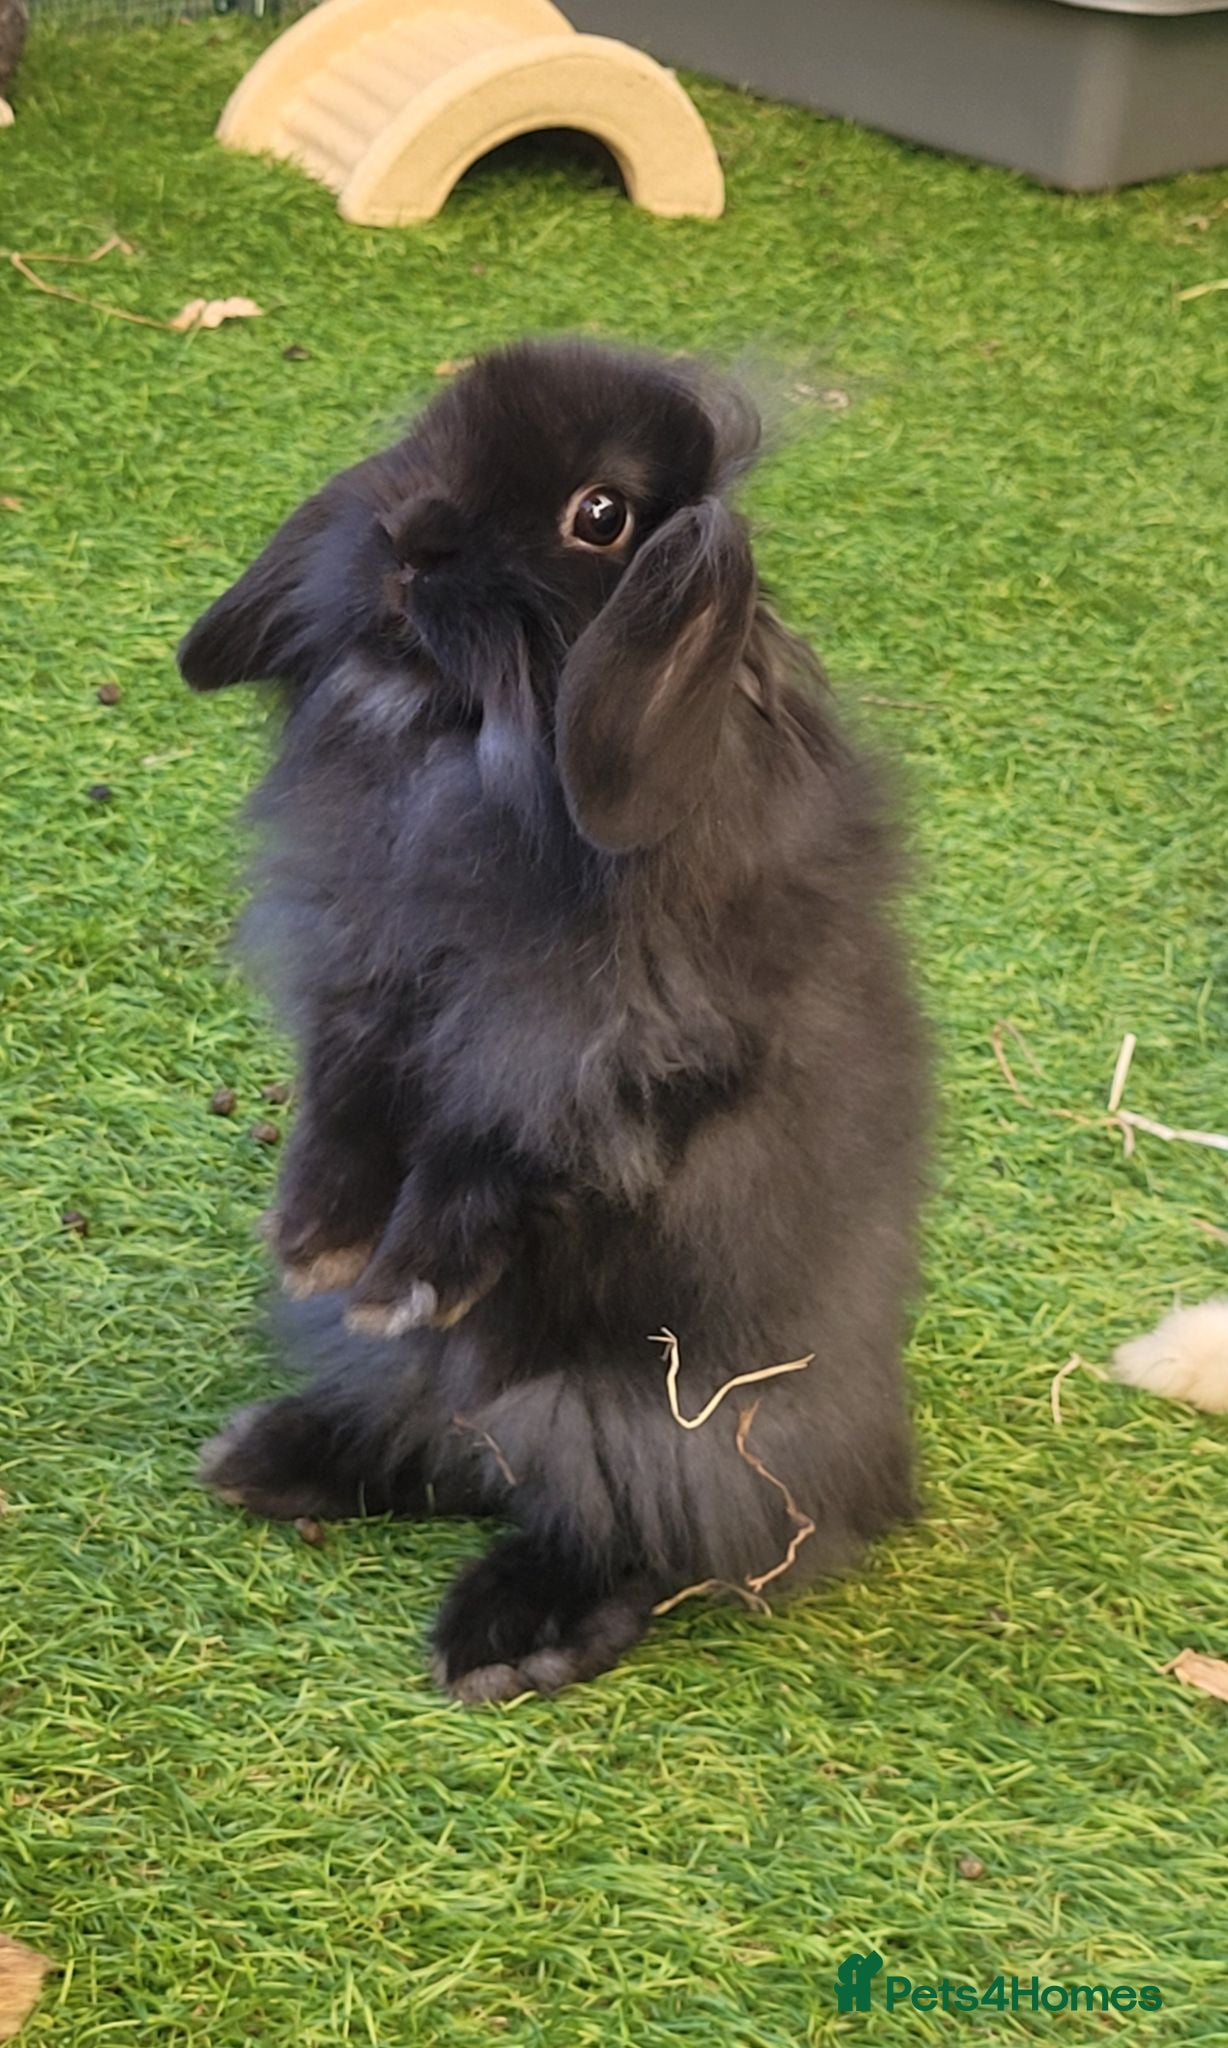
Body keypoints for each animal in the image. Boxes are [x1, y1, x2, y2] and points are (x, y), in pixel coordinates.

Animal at [179, 338, 930, 1702]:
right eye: (432, 434)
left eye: (601, 516)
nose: (410, 542)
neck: (466, 741)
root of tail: (877, 1474)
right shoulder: (364, 997)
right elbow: (342, 1117)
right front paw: (315, 1247)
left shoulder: (591, 1054)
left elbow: (491, 1159)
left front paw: (403, 1280)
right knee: (442, 1446)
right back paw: (274, 1455)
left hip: (666, 1421)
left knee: (631, 1529)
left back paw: (509, 1631)